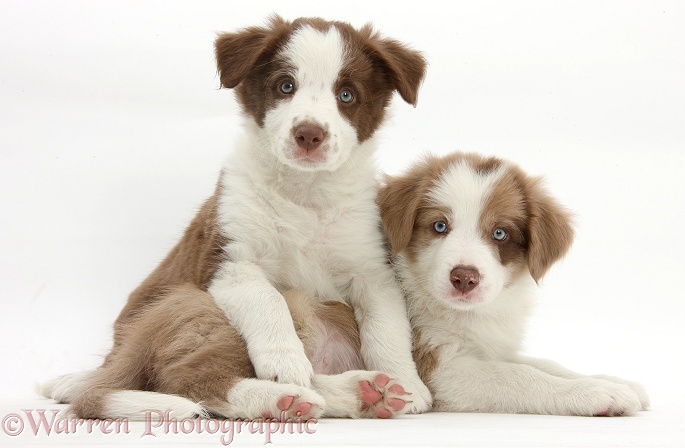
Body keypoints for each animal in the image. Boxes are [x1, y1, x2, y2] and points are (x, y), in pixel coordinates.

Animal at [40, 16, 430, 420]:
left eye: (347, 96)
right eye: (285, 86)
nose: (309, 134)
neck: (305, 194)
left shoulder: (371, 269)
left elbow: (387, 328)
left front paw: (407, 384)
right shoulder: (230, 260)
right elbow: (268, 301)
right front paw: (285, 362)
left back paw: (360, 392)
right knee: (183, 377)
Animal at [376, 153, 648, 416]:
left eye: (500, 233)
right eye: (440, 226)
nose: (464, 278)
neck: (468, 314)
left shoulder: (493, 349)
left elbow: (543, 363)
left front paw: (615, 381)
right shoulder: (438, 368)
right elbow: (519, 375)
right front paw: (597, 391)